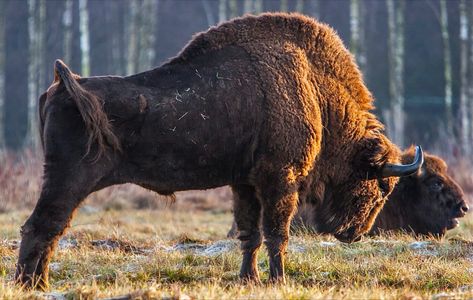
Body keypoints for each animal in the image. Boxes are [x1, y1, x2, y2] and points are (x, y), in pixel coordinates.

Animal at [14, 12, 422, 290]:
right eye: (381, 187)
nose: (354, 234)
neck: (313, 86)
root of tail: (65, 86)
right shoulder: (279, 178)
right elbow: (276, 232)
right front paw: (278, 280)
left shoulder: (245, 184)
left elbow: (249, 233)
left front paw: (249, 279)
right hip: (69, 179)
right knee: (43, 225)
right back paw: (33, 285)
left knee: (45, 228)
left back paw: (36, 284)